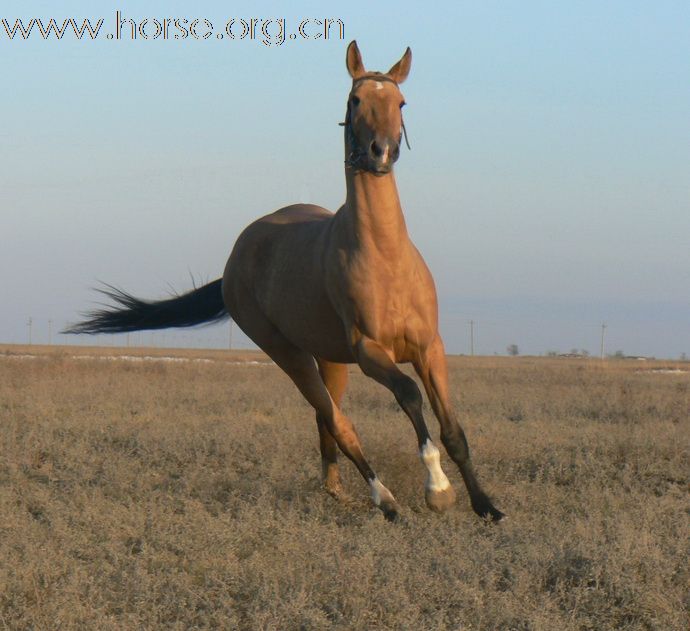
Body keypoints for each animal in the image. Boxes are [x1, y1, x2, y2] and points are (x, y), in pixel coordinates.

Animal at [67, 40, 502, 524]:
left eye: (400, 102)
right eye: (356, 100)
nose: (381, 152)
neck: (385, 258)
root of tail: (234, 261)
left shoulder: (430, 348)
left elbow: (454, 429)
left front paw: (486, 506)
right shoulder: (370, 352)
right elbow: (408, 394)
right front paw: (437, 488)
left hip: (328, 357)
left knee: (327, 419)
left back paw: (336, 490)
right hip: (287, 353)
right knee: (338, 422)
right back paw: (384, 500)